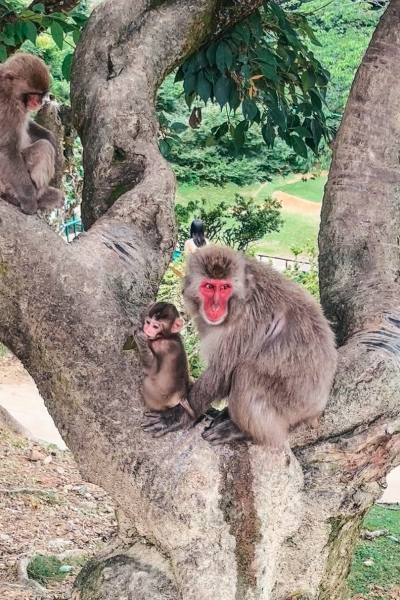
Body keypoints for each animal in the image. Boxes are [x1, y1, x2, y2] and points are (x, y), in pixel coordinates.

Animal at [0, 52, 63, 214]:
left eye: (41, 94)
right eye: (32, 94)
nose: (38, 102)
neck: (9, 91)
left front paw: (51, 137)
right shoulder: (8, 109)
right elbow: (7, 151)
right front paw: (29, 200)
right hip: (4, 184)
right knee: (43, 148)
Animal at [144, 246, 338, 448]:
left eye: (224, 287)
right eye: (209, 286)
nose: (215, 307)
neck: (241, 296)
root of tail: (315, 412)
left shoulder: (245, 321)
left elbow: (221, 371)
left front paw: (181, 415)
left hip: (291, 407)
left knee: (245, 373)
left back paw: (240, 431)